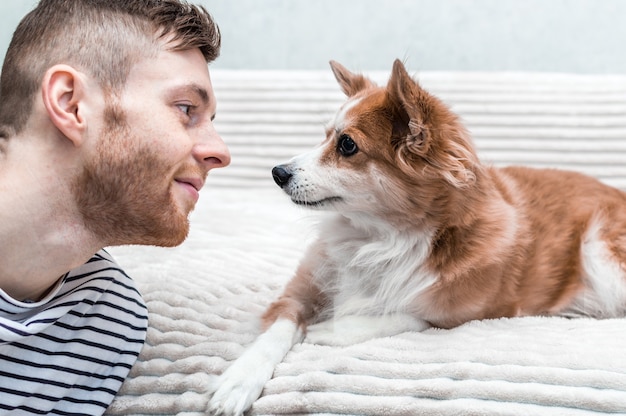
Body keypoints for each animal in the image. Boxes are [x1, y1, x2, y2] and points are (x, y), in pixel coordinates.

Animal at [207, 60, 624, 414]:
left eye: (347, 145)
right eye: (324, 137)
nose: (277, 172)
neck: (380, 237)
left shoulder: (475, 312)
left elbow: (406, 314)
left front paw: (329, 330)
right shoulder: (298, 294)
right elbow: (276, 332)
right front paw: (238, 381)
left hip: (602, 258)